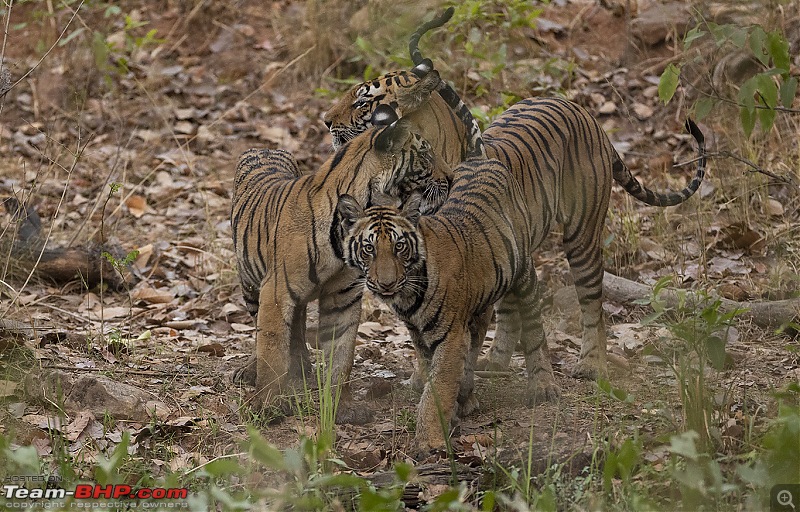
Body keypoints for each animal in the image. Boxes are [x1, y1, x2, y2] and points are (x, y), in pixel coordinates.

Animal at [231, 116, 440, 416]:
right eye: (425, 155)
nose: (448, 178)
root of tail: (263, 147)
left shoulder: (344, 296)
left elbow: (342, 356)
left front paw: (342, 407)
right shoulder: (275, 291)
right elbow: (271, 349)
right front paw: (268, 405)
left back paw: (302, 366)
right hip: (250, 284)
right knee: (260, 324)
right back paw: (253, 369)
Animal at [322, 10, 704, 378]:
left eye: (363, 101)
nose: (326, 120)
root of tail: (587, 115)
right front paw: (422, 377)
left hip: (581, 234)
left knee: (591, 301)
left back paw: (590, 364)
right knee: (509, 306)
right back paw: (497, 363)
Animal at [334, 157, 560, 456]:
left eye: (399, 247)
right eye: (369, 248)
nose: (386, 283)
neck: (407, 296)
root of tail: (484, 159)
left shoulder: (450, 336)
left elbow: (437, 389)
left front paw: (429, 441)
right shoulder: (421, 335)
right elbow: (433, 375)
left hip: (523, 272)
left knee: (534, 327)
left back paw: (544, 386)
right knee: (478, 338)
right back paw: (466, 395)